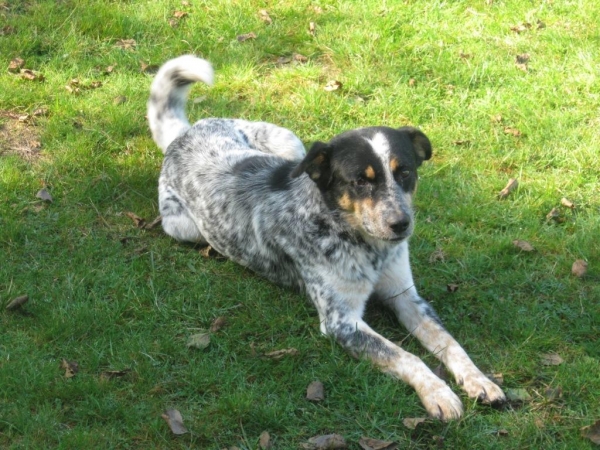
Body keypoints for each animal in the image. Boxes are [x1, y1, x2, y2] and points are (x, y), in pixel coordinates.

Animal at [147, 55, 505, 420]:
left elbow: (449, 342)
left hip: (289, 142)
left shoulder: (406, 296)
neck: (364, 245)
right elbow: (407, 356)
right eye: (360, 180)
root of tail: (182, 135)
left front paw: (480, 380)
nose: (401, 224)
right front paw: (439, 393)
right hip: (184, 227)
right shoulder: (341, 321)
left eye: (404, 171)